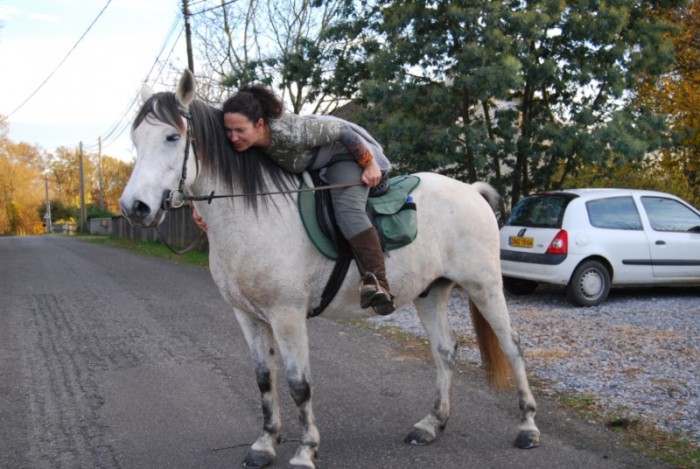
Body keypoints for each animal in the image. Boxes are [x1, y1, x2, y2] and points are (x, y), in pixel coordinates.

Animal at [119, 70, 540, 468]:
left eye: (172, 137)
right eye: (136, 140)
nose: (134, 207)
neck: (253, 214)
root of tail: (471, 191)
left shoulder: (287, 315)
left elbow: (298, 384)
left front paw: (306, 450)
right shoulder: (247, 316)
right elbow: (264, 379)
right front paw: (265, 444)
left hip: (484, 285)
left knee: (512, 345)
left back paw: (528, 427)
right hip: (430, 292)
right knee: (445, 351)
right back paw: (431, 424)